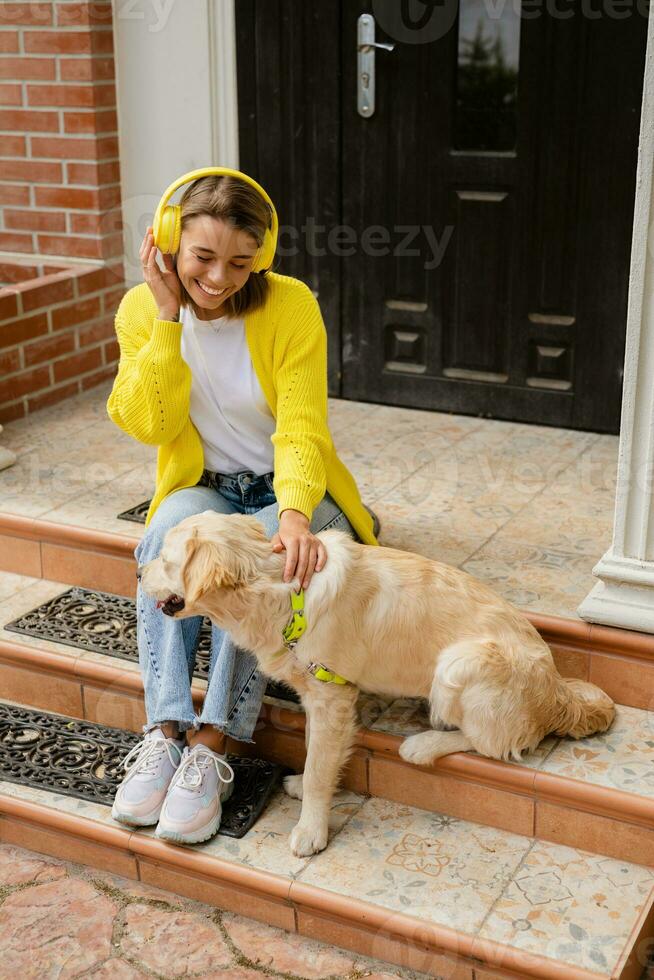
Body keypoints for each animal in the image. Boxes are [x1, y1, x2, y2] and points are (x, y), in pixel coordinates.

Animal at [138, 512, 616, 856]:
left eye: (166, 559)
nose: (139, 572)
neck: (283, 594)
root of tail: (557, 691)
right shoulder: (318, 699)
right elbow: (314, 753)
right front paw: (307, 787)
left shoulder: (332, 696)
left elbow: (318, 769)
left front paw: (311, 831)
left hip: (458, 662)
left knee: (496, 745)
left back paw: (423, 744)